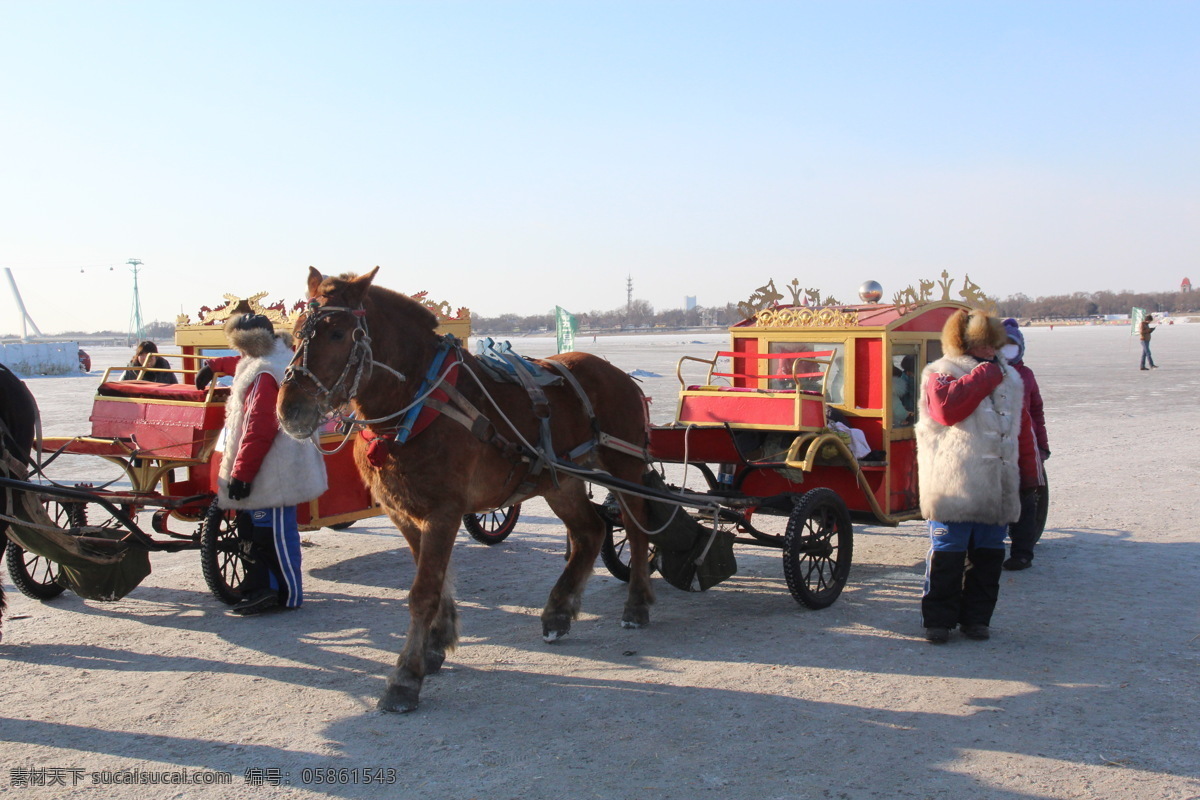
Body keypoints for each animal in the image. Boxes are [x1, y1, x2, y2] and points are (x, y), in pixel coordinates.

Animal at [278, 268, 657, 714]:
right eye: (296, 334)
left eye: (337, 334)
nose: (290, 408)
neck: (418, 402)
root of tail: (618, 373)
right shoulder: (403, 513)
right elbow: (435, 581)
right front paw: (435, 646)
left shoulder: (443, 512)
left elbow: (423, 592)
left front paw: (405, 677)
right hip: (559, 480)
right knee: (590, 532)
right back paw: (559, 611)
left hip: (624, 466)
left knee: (636, 531)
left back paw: (636, 603)